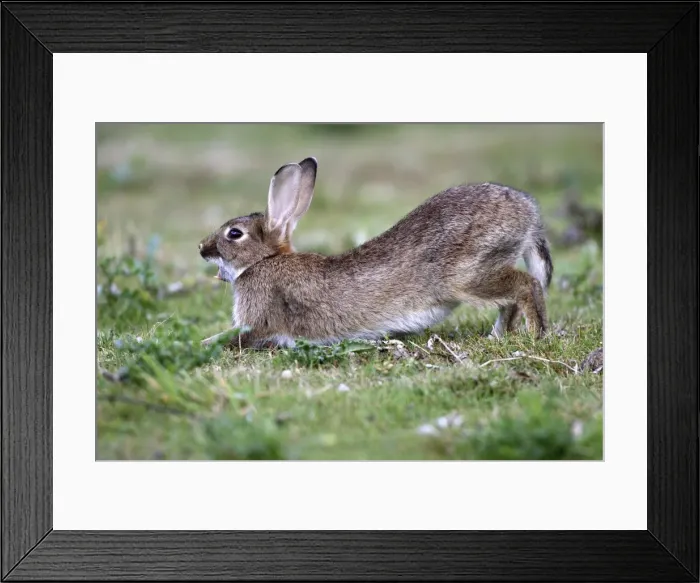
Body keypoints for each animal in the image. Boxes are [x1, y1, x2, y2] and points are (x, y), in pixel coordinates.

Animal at [199, 156, 553, 350]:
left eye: (234, 234)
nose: (202, 248)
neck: (266, 260)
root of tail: (530, 213)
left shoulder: (258, 321)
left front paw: (200, 344)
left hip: (469, 274)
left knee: (527, 286)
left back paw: (537, 336)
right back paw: (497, 337)